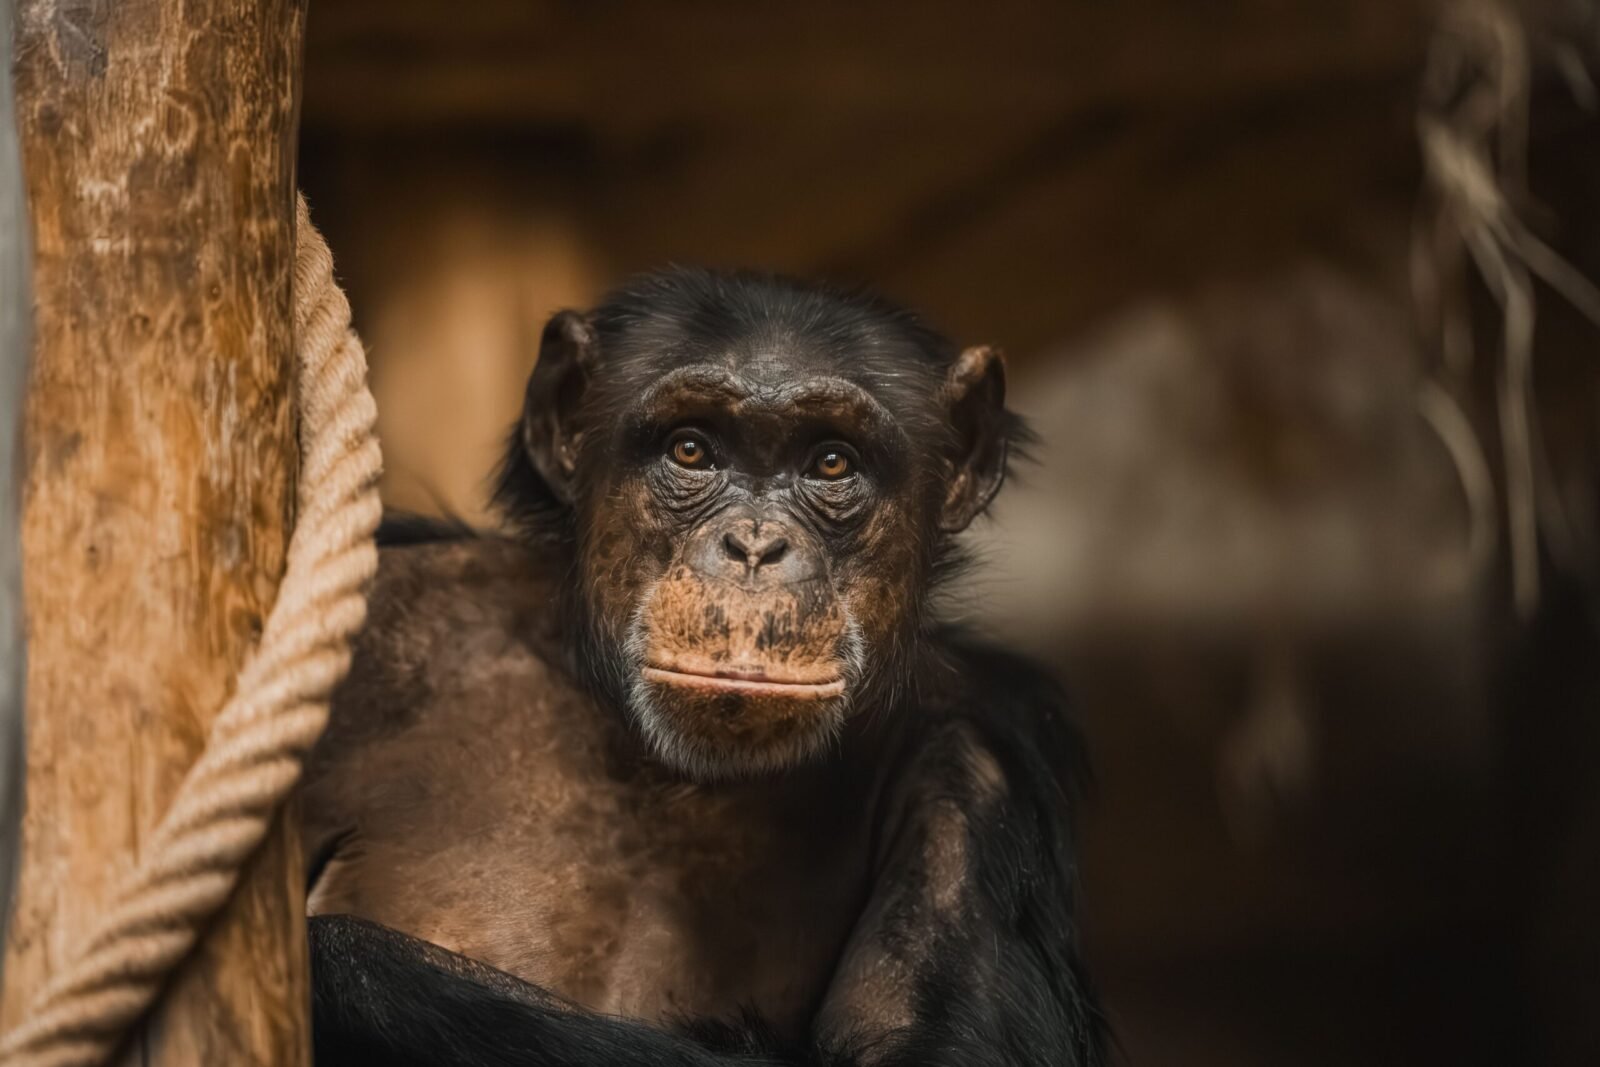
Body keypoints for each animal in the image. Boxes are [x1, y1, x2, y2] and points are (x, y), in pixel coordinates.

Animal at [302, 267, 1107, 1066]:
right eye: (691, 450)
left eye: (831, 461)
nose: (753, 546)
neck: (656, 764)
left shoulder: (978, 769)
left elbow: (928, 1051)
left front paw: (329, 961)